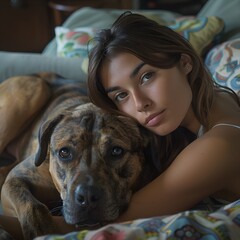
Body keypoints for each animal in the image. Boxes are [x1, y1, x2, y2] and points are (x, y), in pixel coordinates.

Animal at [0, 74, 159, 239]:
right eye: (64, 152)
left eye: (116, 151)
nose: (88, 196)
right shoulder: (15, 178)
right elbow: (32, 204)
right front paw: (41, 229)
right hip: (34, 90)